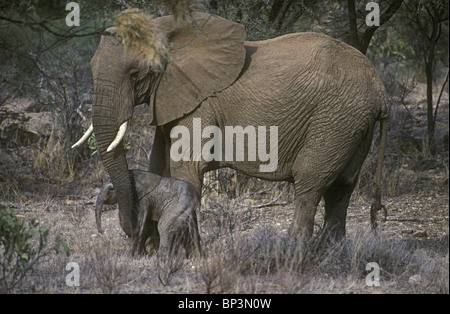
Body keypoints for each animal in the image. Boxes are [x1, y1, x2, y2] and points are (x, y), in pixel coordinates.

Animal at [72, 9, 388, 245]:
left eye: (136, 74)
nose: (128, 230)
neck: (169, 27)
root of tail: (380, 90)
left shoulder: (199, 103)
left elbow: (185, 167)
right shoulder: (171, 97)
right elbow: (159, 164)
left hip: (335, 120)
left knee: (310, 184)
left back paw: (292, 255)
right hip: (353, 125)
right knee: (342, 188)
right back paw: (332, 253)